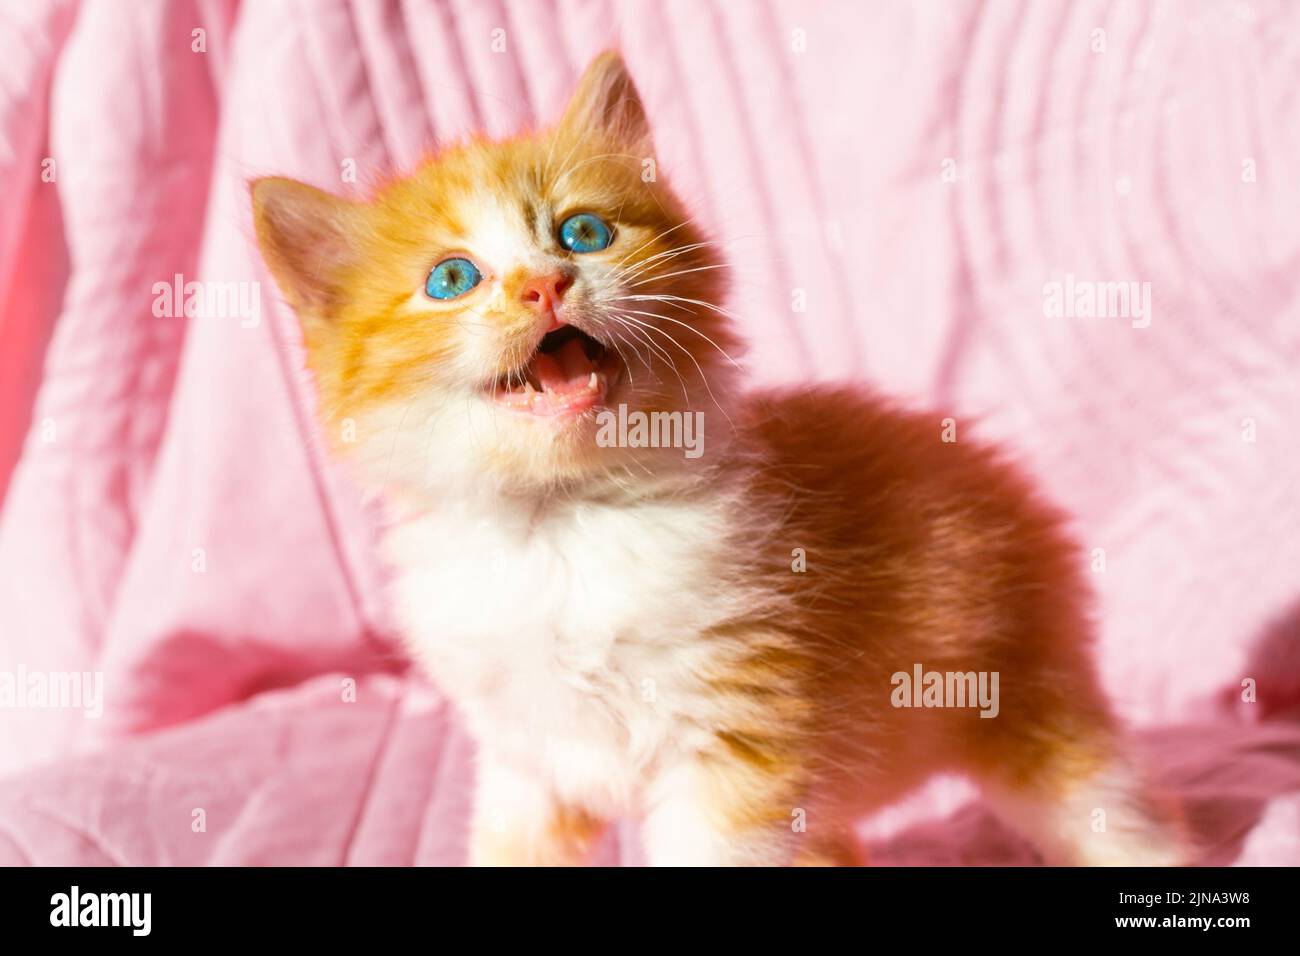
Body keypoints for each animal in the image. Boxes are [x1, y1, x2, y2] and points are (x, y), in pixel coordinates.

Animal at [248, 52, 1185, 868]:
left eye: (583, 232)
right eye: (450, 279)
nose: (544, 285)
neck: (563, 519)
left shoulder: (736, 733)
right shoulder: (527, 760)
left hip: (1027, 688)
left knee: (1113, 810)